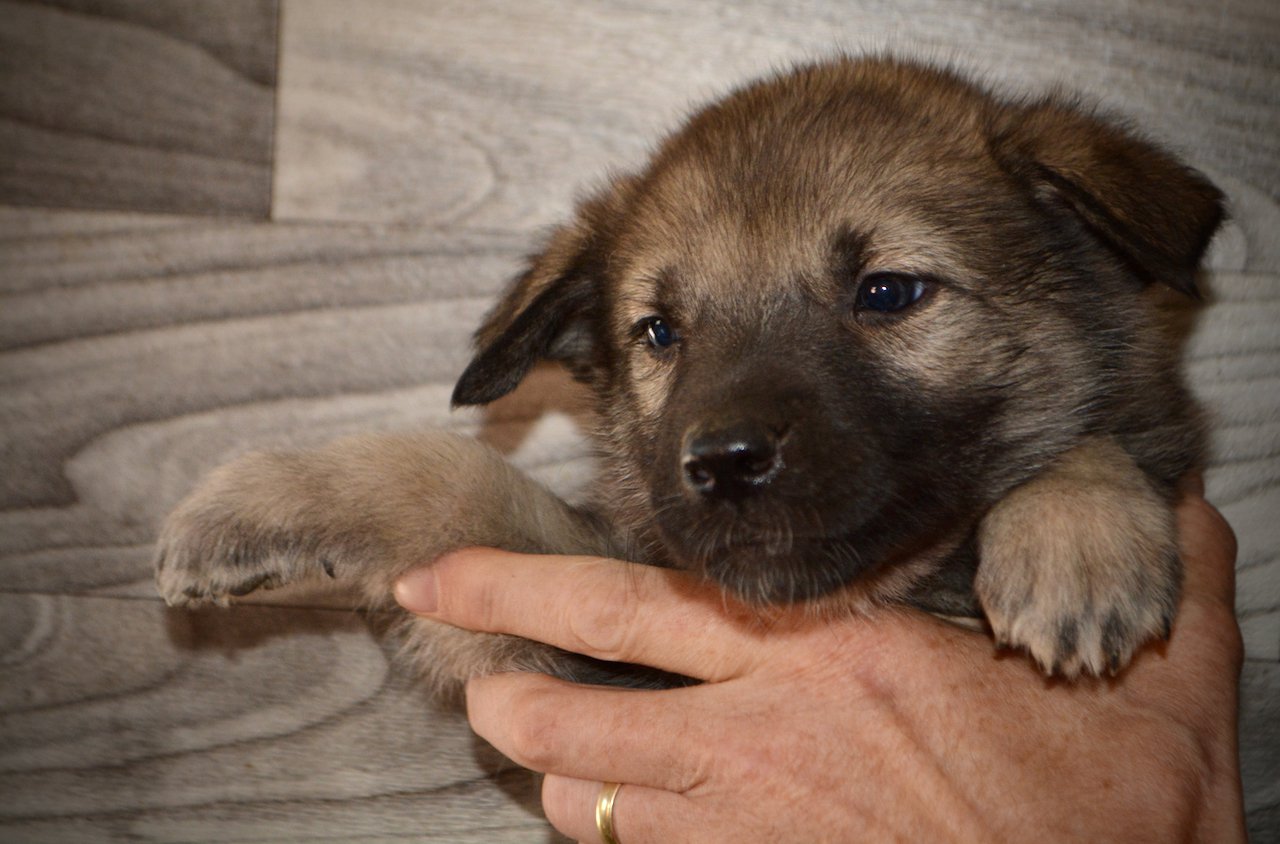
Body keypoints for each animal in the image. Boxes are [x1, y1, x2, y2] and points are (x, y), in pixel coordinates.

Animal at [154, 57, 1223, 691]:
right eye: (660, 331)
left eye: (887, 292)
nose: (723, 463)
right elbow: (445, 475)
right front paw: (261, 502)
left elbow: (1098, 437)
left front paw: (1076, 539)